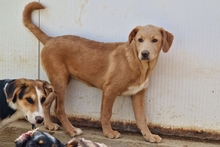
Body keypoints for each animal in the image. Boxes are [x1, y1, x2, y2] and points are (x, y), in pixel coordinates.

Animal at [22, 2, 174, 142]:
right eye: (139, 40)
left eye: (155, 40)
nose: (144, 53)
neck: (139, 65)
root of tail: (50, 39)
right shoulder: (110, 89)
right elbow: (106, 113)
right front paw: (108, 132)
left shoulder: (138, 94)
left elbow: (141, 118)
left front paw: (149, 135)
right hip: (60, 81)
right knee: (59, 109)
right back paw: (71, 130)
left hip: (60, 80)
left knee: (46, 103)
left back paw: (49, 124)